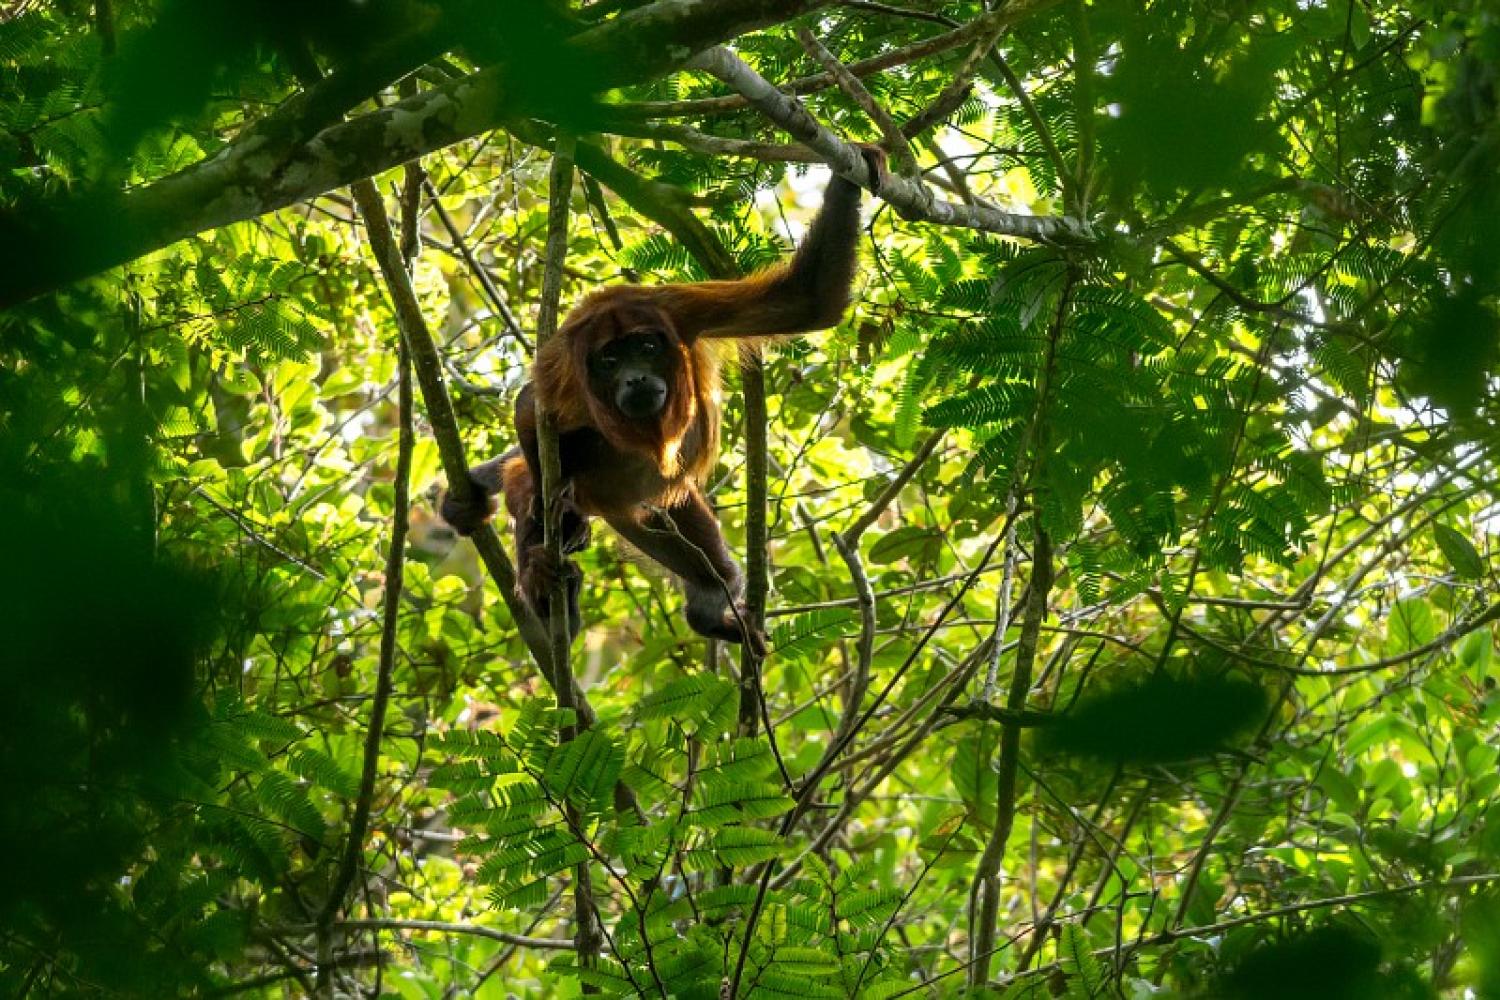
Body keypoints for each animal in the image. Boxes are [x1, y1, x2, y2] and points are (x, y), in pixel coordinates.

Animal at [438, 155, 876, 650]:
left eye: (646, 347)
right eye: (609, 360)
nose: (636, 378)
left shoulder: (678, 310)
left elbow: (806, 299)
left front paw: (853, 171)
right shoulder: (564, 363)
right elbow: (530, 409)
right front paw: (553, 510)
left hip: (658, 508)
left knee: (708, 563)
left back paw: (707, 611)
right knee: (526, 478)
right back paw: (549, 596)